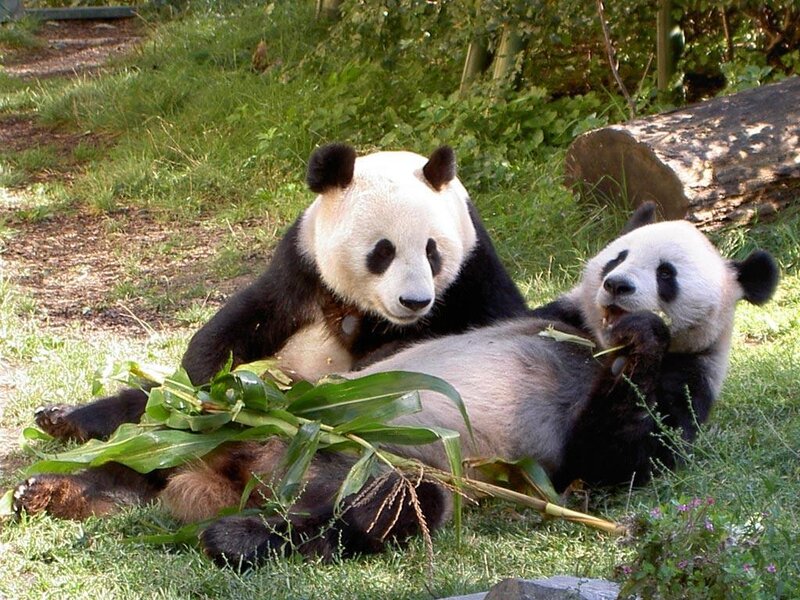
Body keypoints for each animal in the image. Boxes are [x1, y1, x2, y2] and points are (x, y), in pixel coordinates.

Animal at [30, 143, 528, 443]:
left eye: (432, 250)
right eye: (382, 251)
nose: (415, 302)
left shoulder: (474, 270)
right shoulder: (302, 263)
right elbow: (246, 320)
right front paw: (213, 385)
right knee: (145, 398)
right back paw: (65, 419)